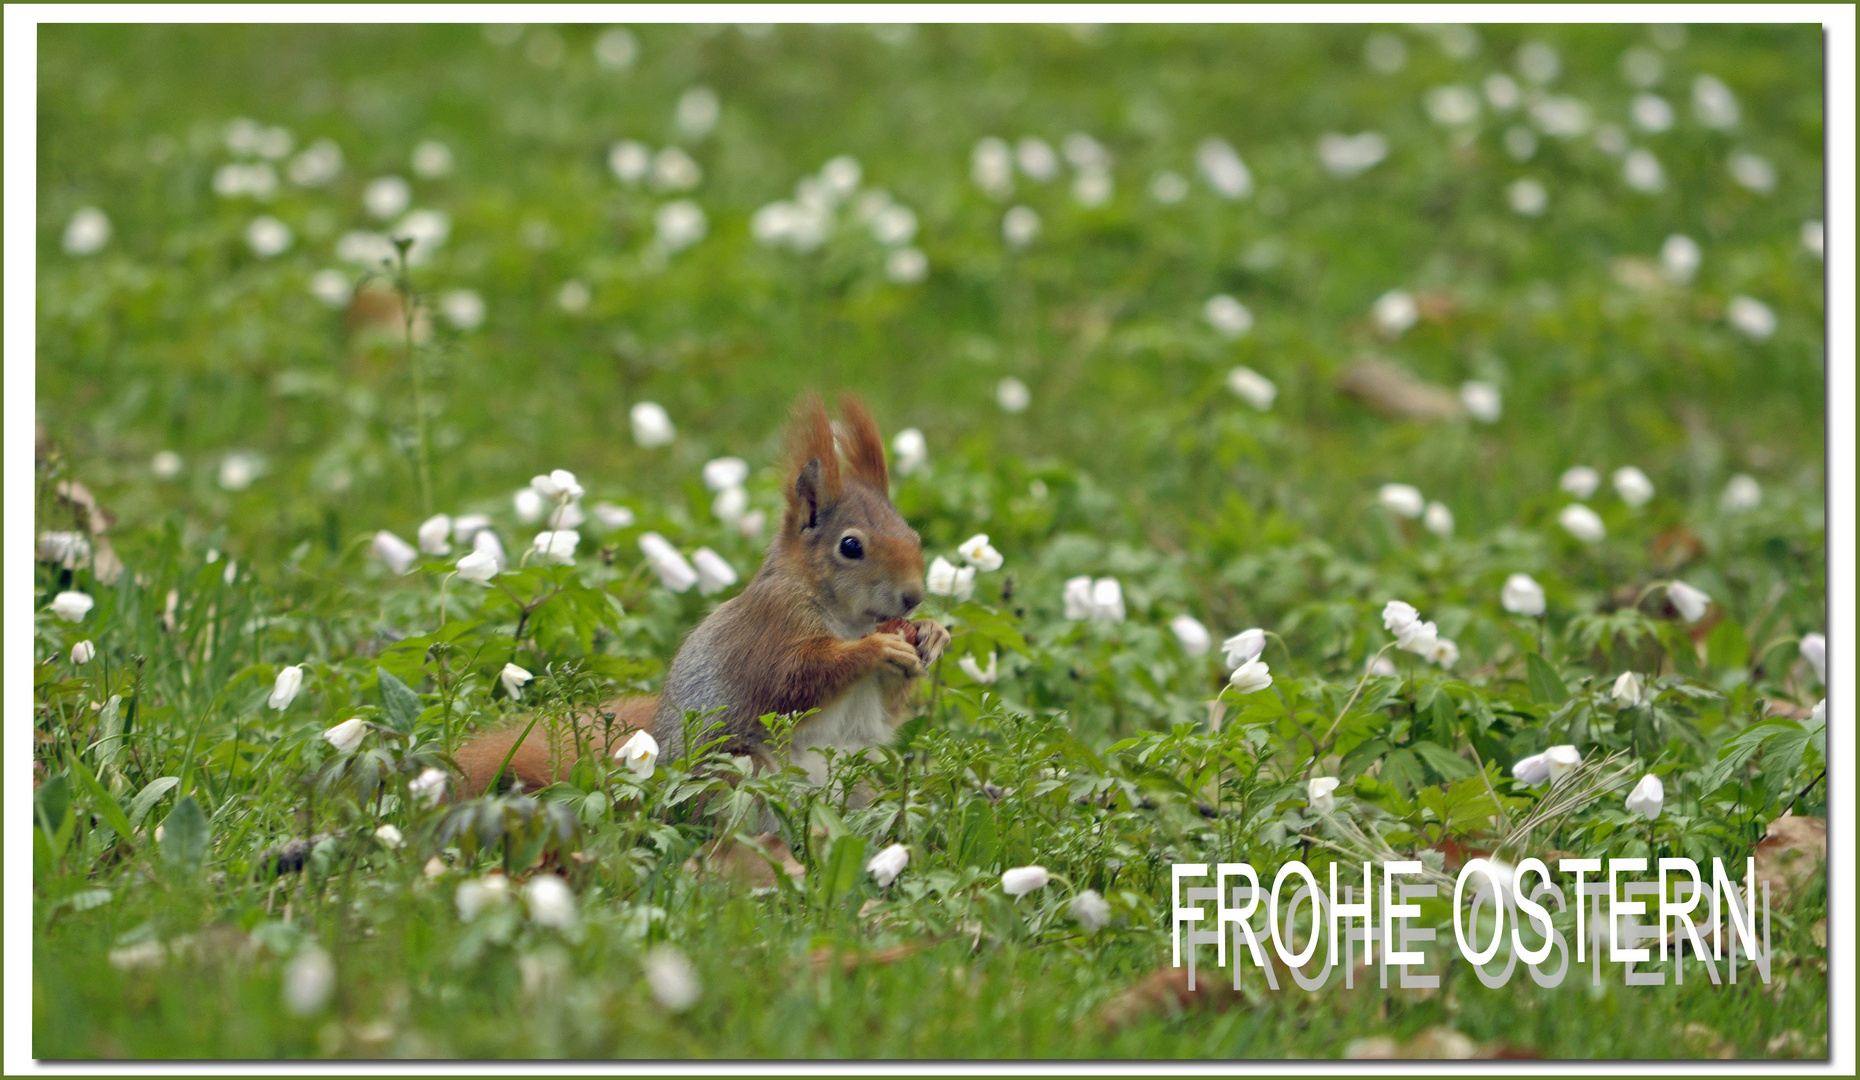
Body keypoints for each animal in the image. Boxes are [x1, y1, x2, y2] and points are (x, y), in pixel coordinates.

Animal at [450, 394, 944, 791]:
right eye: (851, 546)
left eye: (914, 536)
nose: (913, 597)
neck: (847, 618)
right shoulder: (768, 627)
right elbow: (793, 679)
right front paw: (876, 649)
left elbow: (885, 711)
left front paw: (933, 633)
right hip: (736, 774)